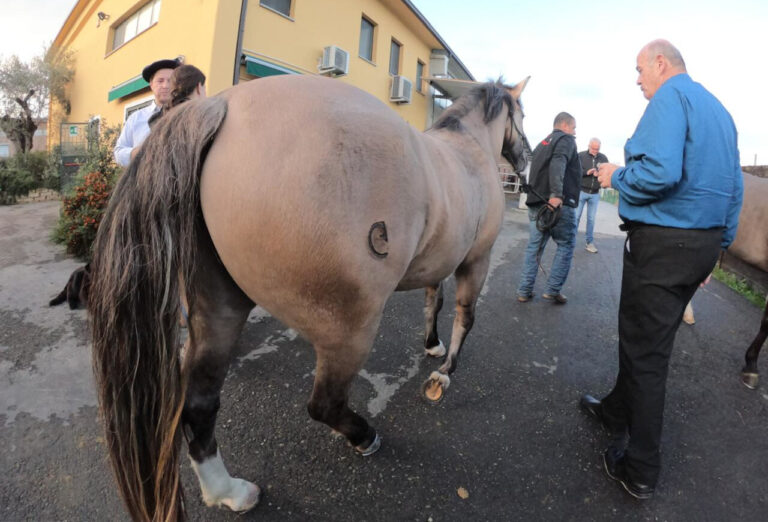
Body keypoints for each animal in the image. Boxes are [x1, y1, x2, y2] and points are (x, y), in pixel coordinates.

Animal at [85, 73, 528, 516]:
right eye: (522, 115)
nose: (522, 162)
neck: (468, 149)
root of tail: (221, 106)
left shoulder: (442, 260)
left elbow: (433, 301)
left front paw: (432, 346)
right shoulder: (477, 259)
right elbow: (464, 315)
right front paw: (444, 372)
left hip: (218, 307)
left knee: (199, 403)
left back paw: (229, 492)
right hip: (349, 328)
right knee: (324, 403)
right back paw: (364, 436)